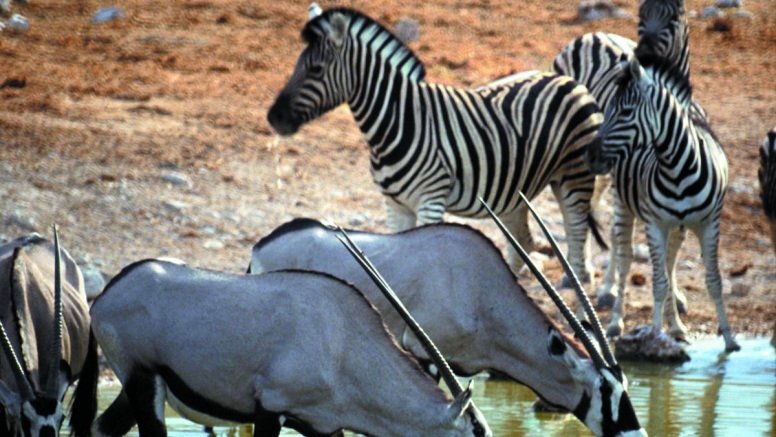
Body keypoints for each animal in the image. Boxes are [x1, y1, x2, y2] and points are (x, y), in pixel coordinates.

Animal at [91, 258, 492, 436]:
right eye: (475, 434)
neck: (344, 344)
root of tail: (106, 295)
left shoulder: (323, 427)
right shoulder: (272, 409)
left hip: (133, 387)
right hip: (144, 383)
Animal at [249, 218, 644, 436]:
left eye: (624, 385)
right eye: (604, 390)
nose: (635, 432)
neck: (481, 294)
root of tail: (260, 247)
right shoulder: (422, 353)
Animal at [588, 54, 740, 352]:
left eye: (625, 113)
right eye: (608, 110)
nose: (591, 155)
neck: (677, 168)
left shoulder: (709, 224)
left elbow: (713, 281)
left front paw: (729, 339)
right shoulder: (654, 223)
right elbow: (658, 282)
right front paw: (654, 336)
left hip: (678, 227)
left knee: (670, 264)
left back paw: (677, 326)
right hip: (624, 205)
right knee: (626, 259)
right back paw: (616, 322)